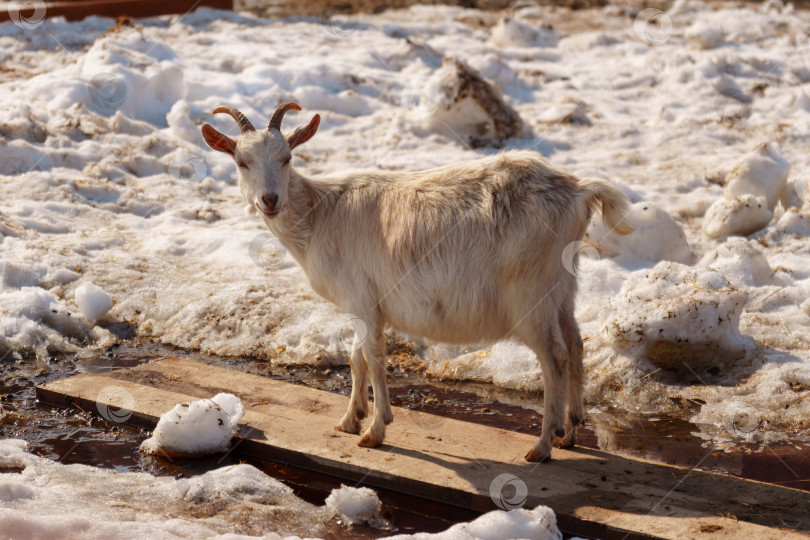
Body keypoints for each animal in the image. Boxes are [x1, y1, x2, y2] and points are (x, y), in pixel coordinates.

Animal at [202, 102, 632, 460]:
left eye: (287, 158)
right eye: (241, 161)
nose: (270, 200)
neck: (322, 214)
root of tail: (579, 191)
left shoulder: (362, 298)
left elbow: (374, 357)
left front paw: (376, 430)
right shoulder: (364, 304)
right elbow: (357, 357)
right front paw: (350, 418)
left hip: (530, 294)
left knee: (553, 357)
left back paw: (542, 445)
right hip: (562, 287)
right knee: (576, 344)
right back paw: (570, 433)